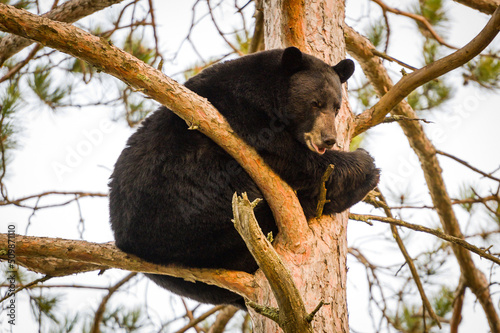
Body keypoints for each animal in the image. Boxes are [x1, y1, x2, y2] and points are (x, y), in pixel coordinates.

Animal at [109, 46, 380, 306]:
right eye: (315, 103)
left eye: (336, 107)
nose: (329, 138)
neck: (267, 88)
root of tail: (129, 243)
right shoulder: (243, 108)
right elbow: (293, 157)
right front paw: (366, 165)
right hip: (185, 197)